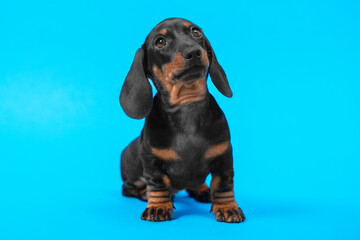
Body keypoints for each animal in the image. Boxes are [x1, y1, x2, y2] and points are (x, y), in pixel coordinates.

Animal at [119, 17, 246, 223]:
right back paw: (144, 194)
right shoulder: (152, 161)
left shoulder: (224, 157)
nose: (193, 52)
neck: (187, 104)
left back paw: (202, 190)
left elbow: (223, 184)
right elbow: (157, 184)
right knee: (128, 188)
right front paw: (158, 206)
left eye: (196, 32)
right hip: (132, 175)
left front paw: (228, 207)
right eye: (160, 41)